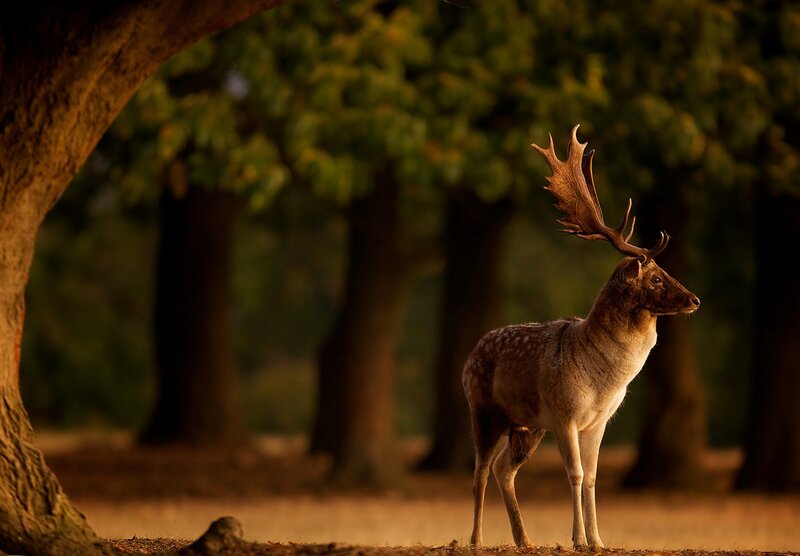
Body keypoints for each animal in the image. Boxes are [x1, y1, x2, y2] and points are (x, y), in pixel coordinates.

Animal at [463, 125, 700, 550]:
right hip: (484, 409)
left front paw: (597, 540)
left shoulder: (597, 421)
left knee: (505, 469)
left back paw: (525, 539)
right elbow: (573, 475)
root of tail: (468, 356)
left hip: (527, 424)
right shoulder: (566, 414)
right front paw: (576, 538)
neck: (604, 382)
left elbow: (591, 478)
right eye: (656, 278)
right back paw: (475, 539)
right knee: (480, 472)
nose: (694, 299)